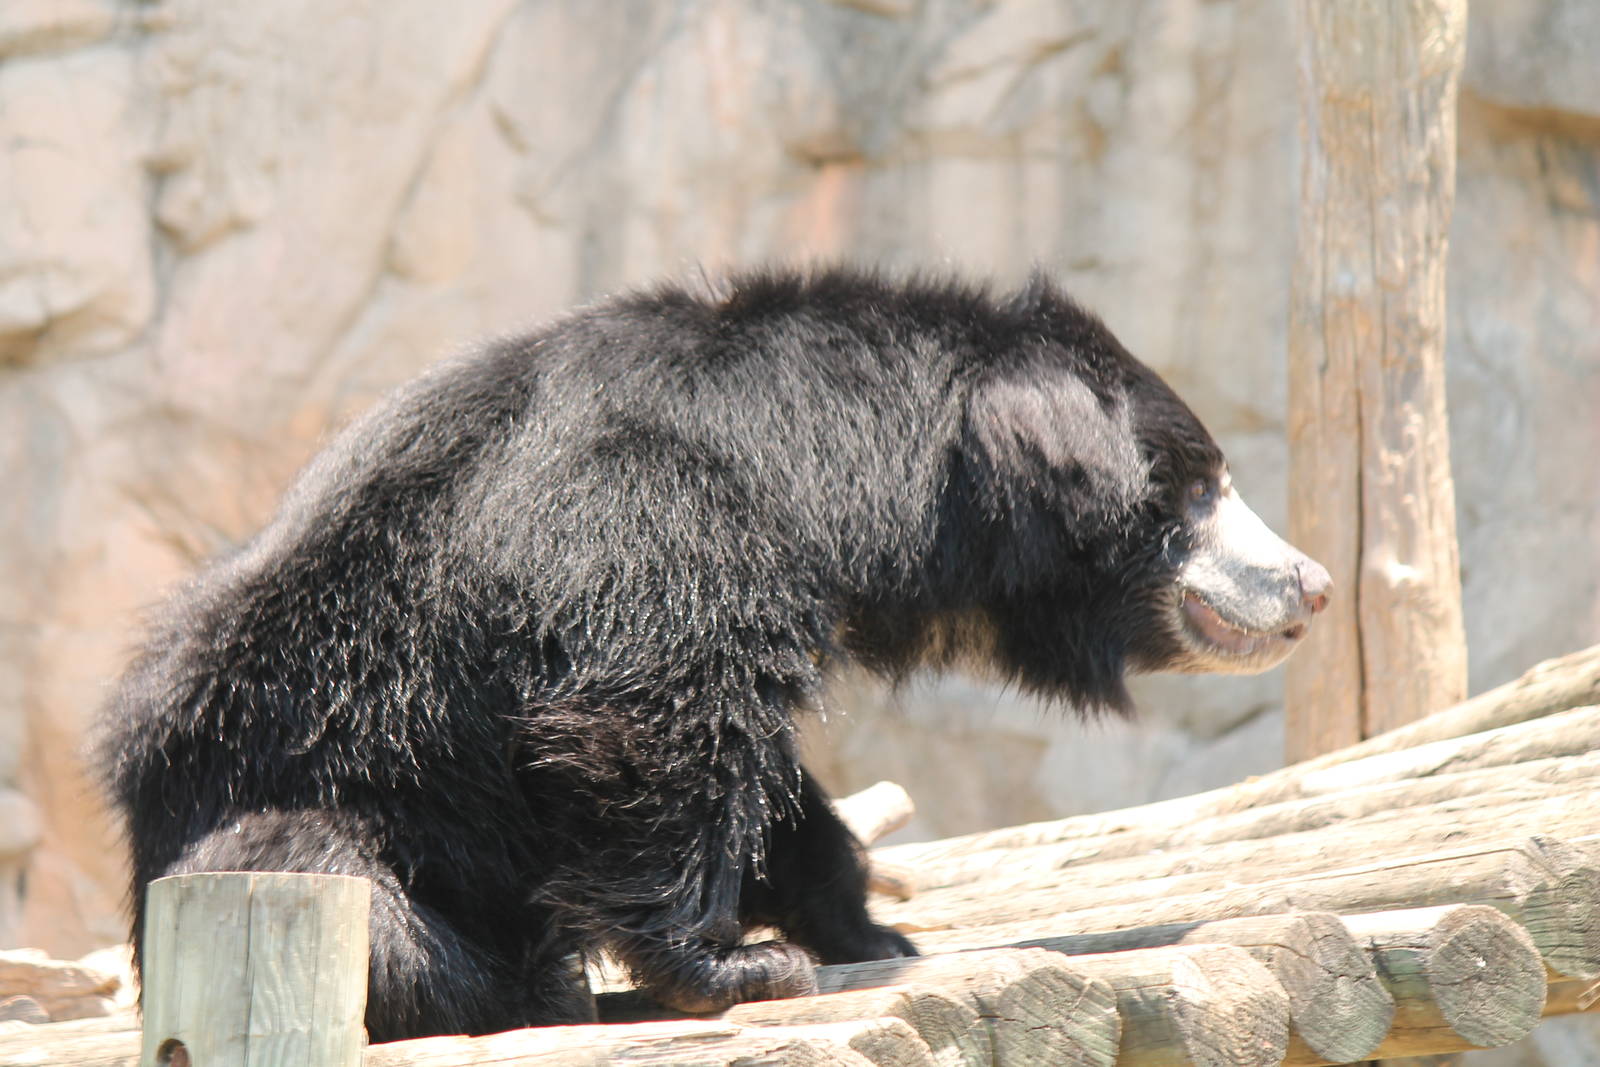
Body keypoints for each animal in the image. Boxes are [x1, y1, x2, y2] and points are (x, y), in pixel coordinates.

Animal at [95, 267, 1330, 1043]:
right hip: (293, 816)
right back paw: (516, 986)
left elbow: (771, 779)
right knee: (331, 876)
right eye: (1200, 489)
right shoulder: (657, 513)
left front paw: (868, 924)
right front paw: (734, 965)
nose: (1310, 583)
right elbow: (652, 715)